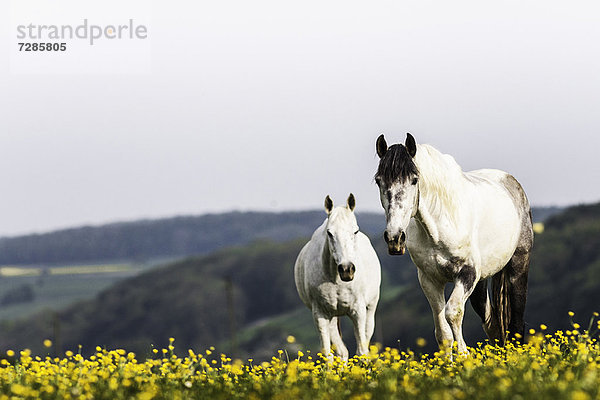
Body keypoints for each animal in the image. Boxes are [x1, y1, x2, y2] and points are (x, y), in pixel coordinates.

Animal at [294, 194, 380, 360]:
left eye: (355, 231)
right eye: (329, 233)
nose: (347, 270)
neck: (336, 280)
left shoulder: (358, 311)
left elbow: (362, 351)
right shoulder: (320, 314)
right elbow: (328, 354)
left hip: (370, 310)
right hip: (333, 317)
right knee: (342, 352)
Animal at [376, 134, 536, 354]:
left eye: (414, 180)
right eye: (378, 181)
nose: (395, 238)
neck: (440, 224)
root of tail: (511, 183)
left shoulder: (467, 273)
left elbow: (452, 312)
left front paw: (464, 355)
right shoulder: (430, 279)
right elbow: (442, 332)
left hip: (518, 267)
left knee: (516, 323)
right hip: (480, 283)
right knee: (492, 323)